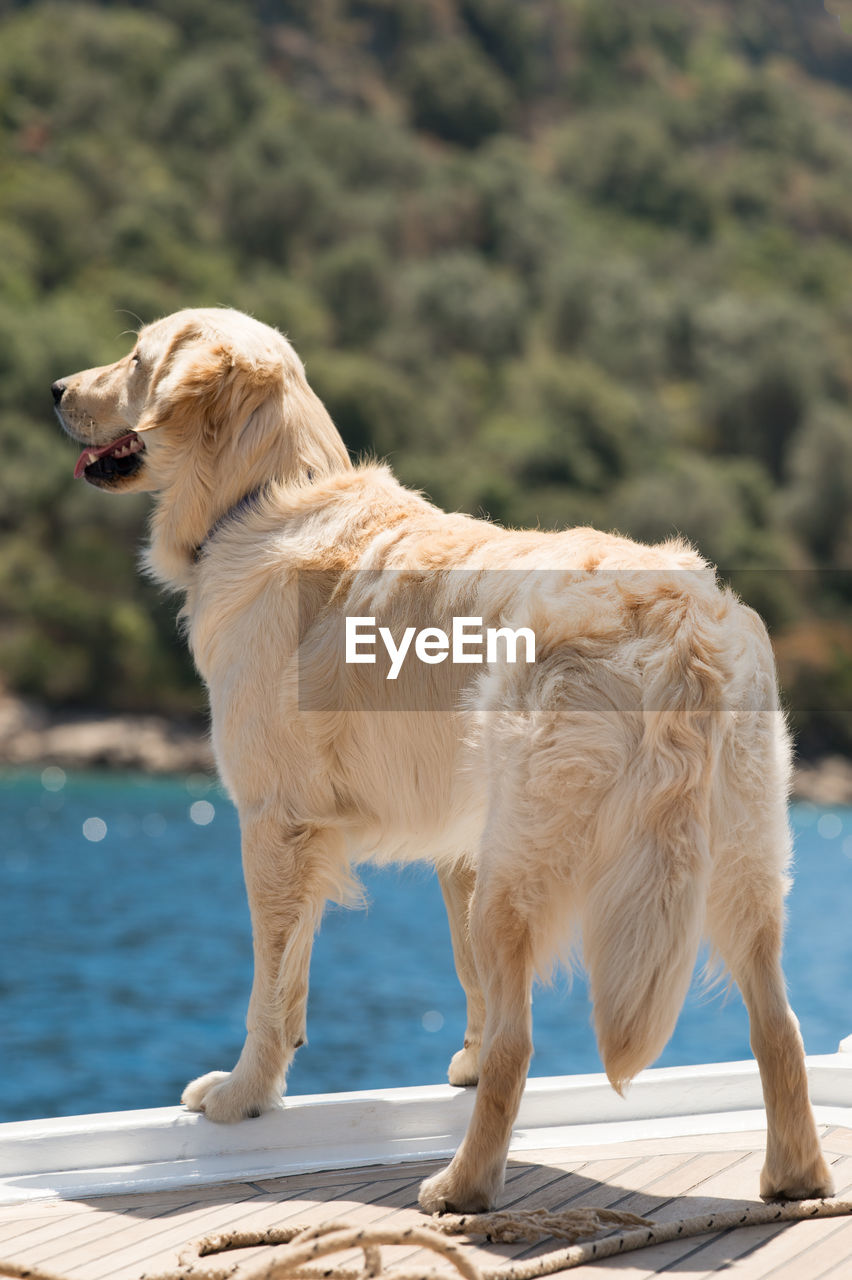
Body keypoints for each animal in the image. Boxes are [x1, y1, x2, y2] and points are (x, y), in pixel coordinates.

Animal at [53, 307, 828, 1208]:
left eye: (136, 360)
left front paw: (243, 1095)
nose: (55, 390)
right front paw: (458, 1060)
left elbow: (273, 989)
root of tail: (677, 625)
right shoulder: (457, 842)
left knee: (523, 1044)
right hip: (738, 861)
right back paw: (796, 1176)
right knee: (778, 1023)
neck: (262, 497)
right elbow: (459, 977)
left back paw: (462, 1186)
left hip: (524, 863)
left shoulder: (275, 824)